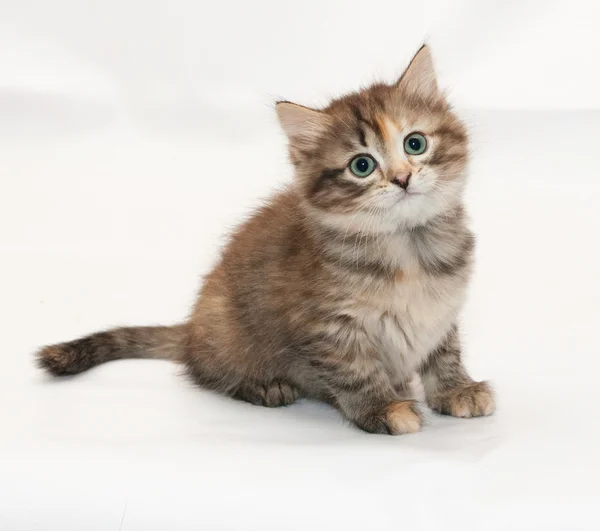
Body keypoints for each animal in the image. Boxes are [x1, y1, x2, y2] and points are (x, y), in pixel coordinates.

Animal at [38, 45, 496, 434]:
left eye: (414, 143)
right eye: (362, 166)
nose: (402, 178)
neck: (408, 247)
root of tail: (190, 329)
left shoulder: (441, 310)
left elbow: (444, 353)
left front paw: (456, 388)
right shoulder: (328, 327)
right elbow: (355, 371)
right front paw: (381, 408)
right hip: (224, 329)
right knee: (207, 372)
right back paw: (263, 385)